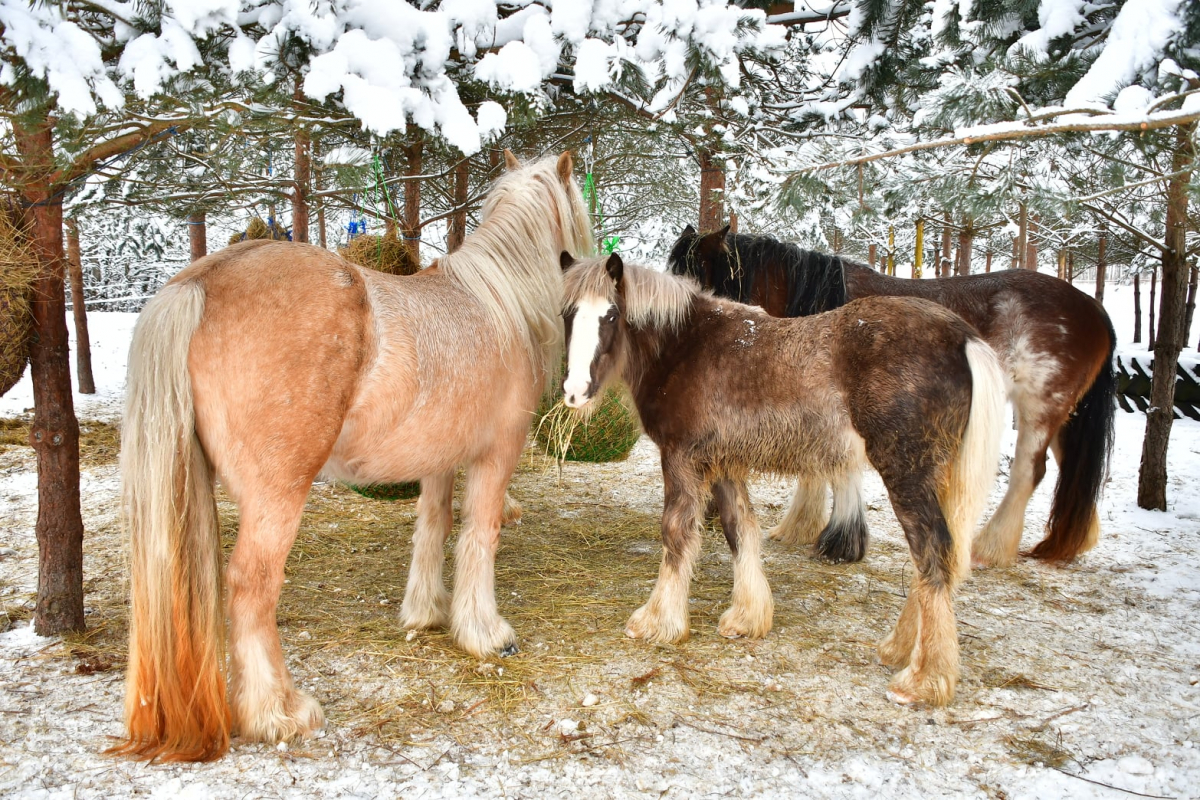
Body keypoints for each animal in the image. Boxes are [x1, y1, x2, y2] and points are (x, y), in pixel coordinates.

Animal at [114, 151, 592, 762]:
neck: (498, 304)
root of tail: (199, 282)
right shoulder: (495, 454)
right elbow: (479, 536)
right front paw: (484, 632)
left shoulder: (438, 458)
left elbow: (433, 526)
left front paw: (427, 611)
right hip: (277, 497)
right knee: (250, 588)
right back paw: (278, 712)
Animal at [561, 253, 1003, 705]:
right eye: (568, 314)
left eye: (611, 315)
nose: (574, 392)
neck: (683, 346)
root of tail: (964, 338)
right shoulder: (723, 464)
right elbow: (739, 529)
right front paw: (746, 617)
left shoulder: (682, 459)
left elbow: (676, 533)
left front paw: (657, 622)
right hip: (938, 476)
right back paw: (900, 649)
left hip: (907, 471)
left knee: (932, 553)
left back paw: (922, 679)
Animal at [672, 226, 1118, 568]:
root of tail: (1093, 309)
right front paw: (806, 527)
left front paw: (838, 540)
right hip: (1064, 416)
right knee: (1071, 469)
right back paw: (1066, 542)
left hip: (1039, 407)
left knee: (1030, 471)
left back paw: (990, 547)